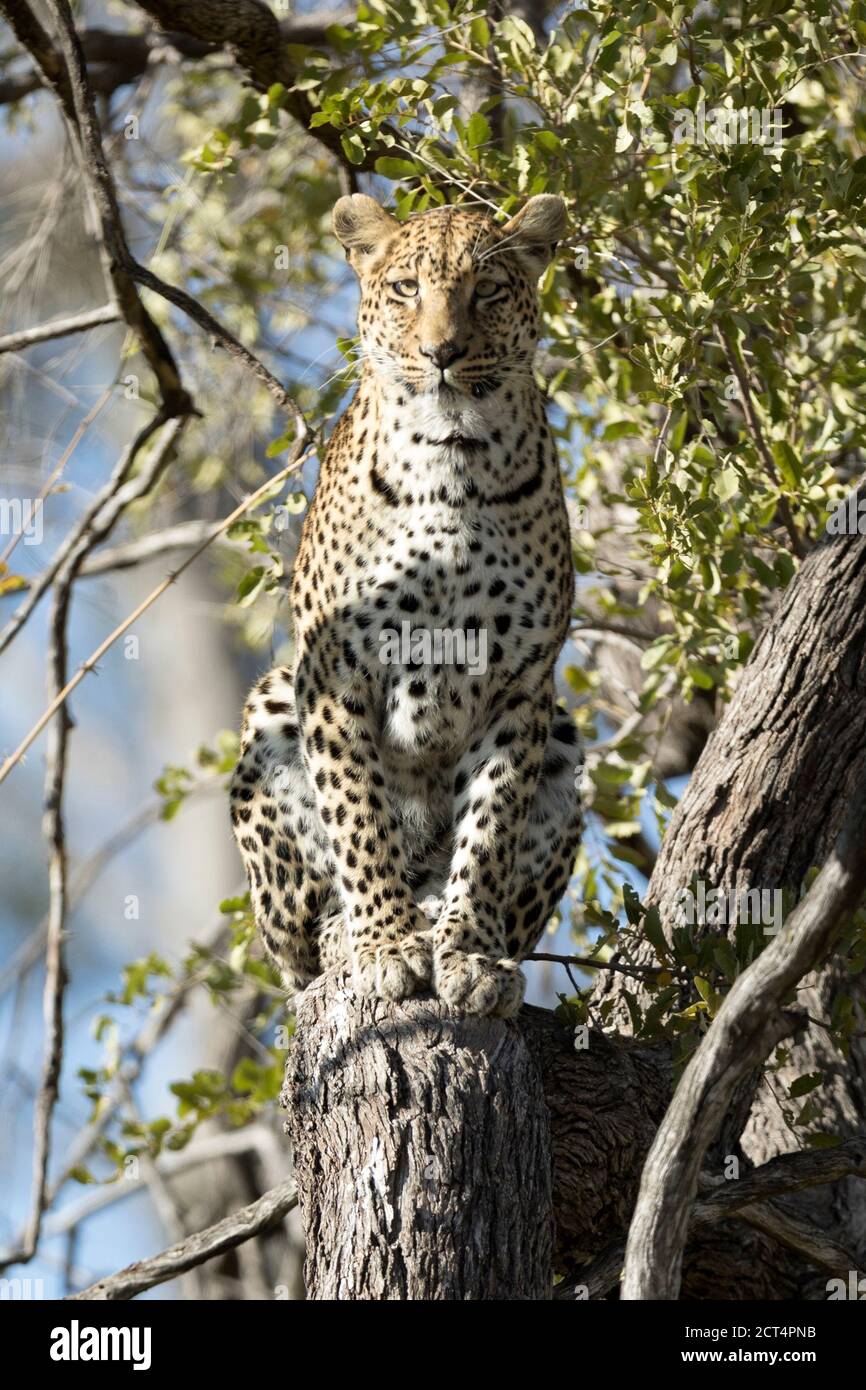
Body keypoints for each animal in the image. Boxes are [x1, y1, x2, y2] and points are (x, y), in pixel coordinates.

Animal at [229, 190, 583, 1017]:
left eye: (487, 291)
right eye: (404, 289)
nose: (442, 352)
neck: (453, 455)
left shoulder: (520, 683)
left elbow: (490, 830)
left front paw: (470, 954)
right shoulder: (338, 667)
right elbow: (359, 814)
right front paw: (388, 945)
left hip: (565, 738)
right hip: (272, 708)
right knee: (302, 946)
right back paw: (350, 933)